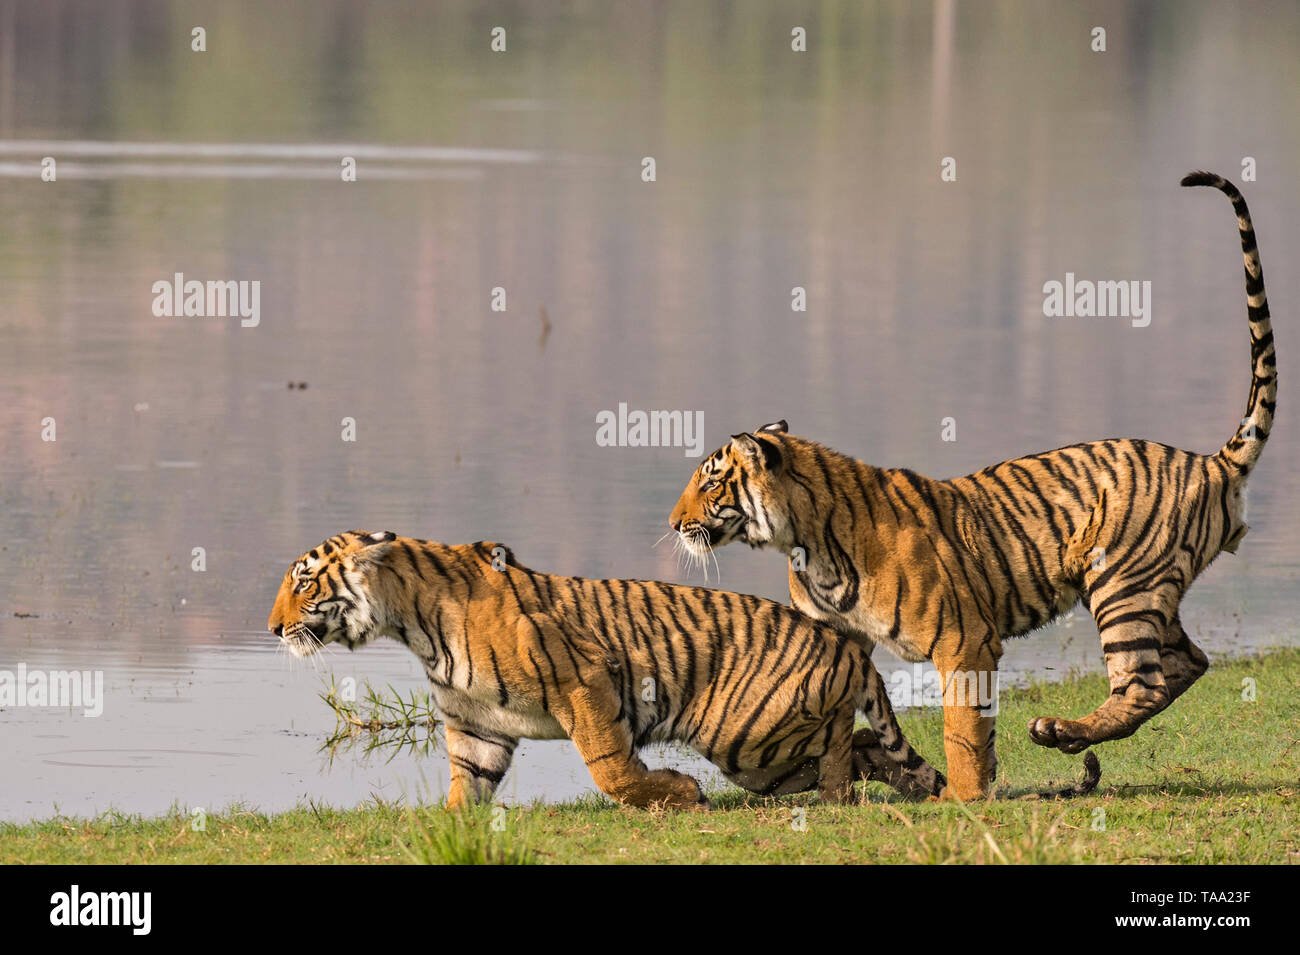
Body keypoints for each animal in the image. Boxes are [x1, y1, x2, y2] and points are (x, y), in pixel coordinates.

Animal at [266, 535, 946, 810]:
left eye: (304, 582)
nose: (272, 628)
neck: (412, 624)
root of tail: (845, 646)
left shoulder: (582, 679)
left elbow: (610, 767)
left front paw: (677, 795)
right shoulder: (478, 724)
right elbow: (467, 784)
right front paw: (452, 823)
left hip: (744, 736)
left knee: (842, 742)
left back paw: (841, 795)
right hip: (763, 762)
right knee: (863, 745)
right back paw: (899, 787)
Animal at [670, 171, 1268, 800]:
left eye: (710, 484)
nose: (673, 523)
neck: (804, 539)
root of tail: (1209, 463)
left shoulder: (964, 639)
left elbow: (963, 726)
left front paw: (963, 795)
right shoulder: (831, 638)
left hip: (1121, 584)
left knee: (1143, 682)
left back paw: (1058, 732)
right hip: (1147, 593)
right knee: (1188, 663)